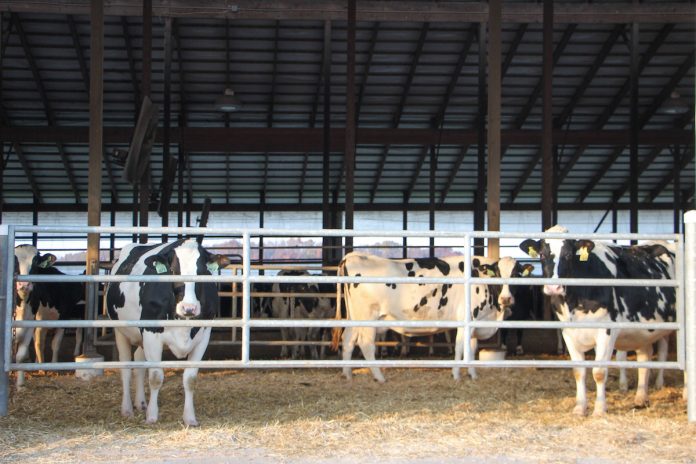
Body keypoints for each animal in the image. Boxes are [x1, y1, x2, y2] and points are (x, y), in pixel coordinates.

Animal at [13, 245, 85, 388]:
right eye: (15, 261)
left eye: (35, 261)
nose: (24, 285)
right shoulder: (38, 320)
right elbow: (38, 343)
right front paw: (39, 365)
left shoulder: (61, 318)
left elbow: (54, 344)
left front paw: (52, 365)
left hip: (80, 315)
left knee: (79, 334)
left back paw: (76, 353)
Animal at [105, 238, 229, 426]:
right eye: (172, 271)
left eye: (202, 272)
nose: (189, 308)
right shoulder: (151, 334)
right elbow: (156, 377)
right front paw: (152, 416)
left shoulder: (203, 336)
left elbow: (190, 379)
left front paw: (190, 418)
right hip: (120, 330)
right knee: (125, 369)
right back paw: (127, 409)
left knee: (139, 363)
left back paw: (140, 403)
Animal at [330, 252, 520, 383]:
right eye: (497, 274)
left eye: (516, 275)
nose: (506, 299)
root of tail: (354, 255)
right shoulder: (466, 319)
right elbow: (460, 347)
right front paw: (456, 375)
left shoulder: (475, 322)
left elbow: (471, 349)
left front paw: (472, 375)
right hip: (368, 318)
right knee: (366, 344)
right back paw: (379, 377)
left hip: (355, 317)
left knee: (347, 339)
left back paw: (347, 374)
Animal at [520, 225, 678, 416]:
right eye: (542, 255)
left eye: (568, 255)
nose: (553, 288)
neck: (574, 302)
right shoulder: (568, 332)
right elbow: (579, 371)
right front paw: (580, 408)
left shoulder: (606, 331)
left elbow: (599, 372)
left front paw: (600, 409)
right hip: (643, 330)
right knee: (644, 357)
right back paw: (641, 398)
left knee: (661, 354)